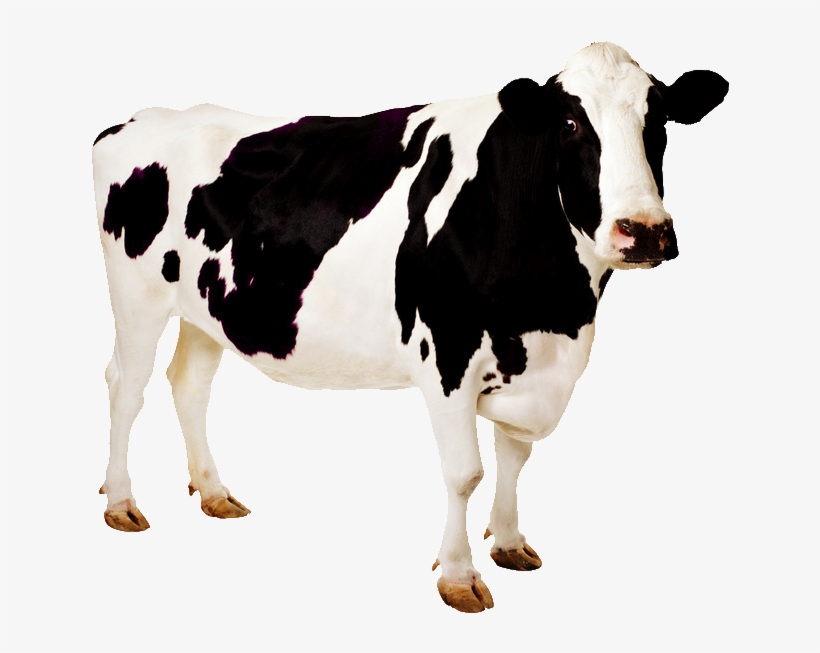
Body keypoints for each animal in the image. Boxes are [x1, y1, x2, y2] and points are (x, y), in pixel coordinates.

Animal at [92, 42, 728, 613]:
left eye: (659, 120)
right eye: (571, 123)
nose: (644, 230)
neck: (555, 305)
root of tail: (138, 119)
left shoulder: (535, 362)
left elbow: (515, 456)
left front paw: (510, 543)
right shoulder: (446, 355)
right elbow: (465, 472)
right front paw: (458, 576)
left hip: (208, 307)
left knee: (189, 385)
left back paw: (215, 492)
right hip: (137, 296)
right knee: (126, 387)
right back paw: (121, 503)